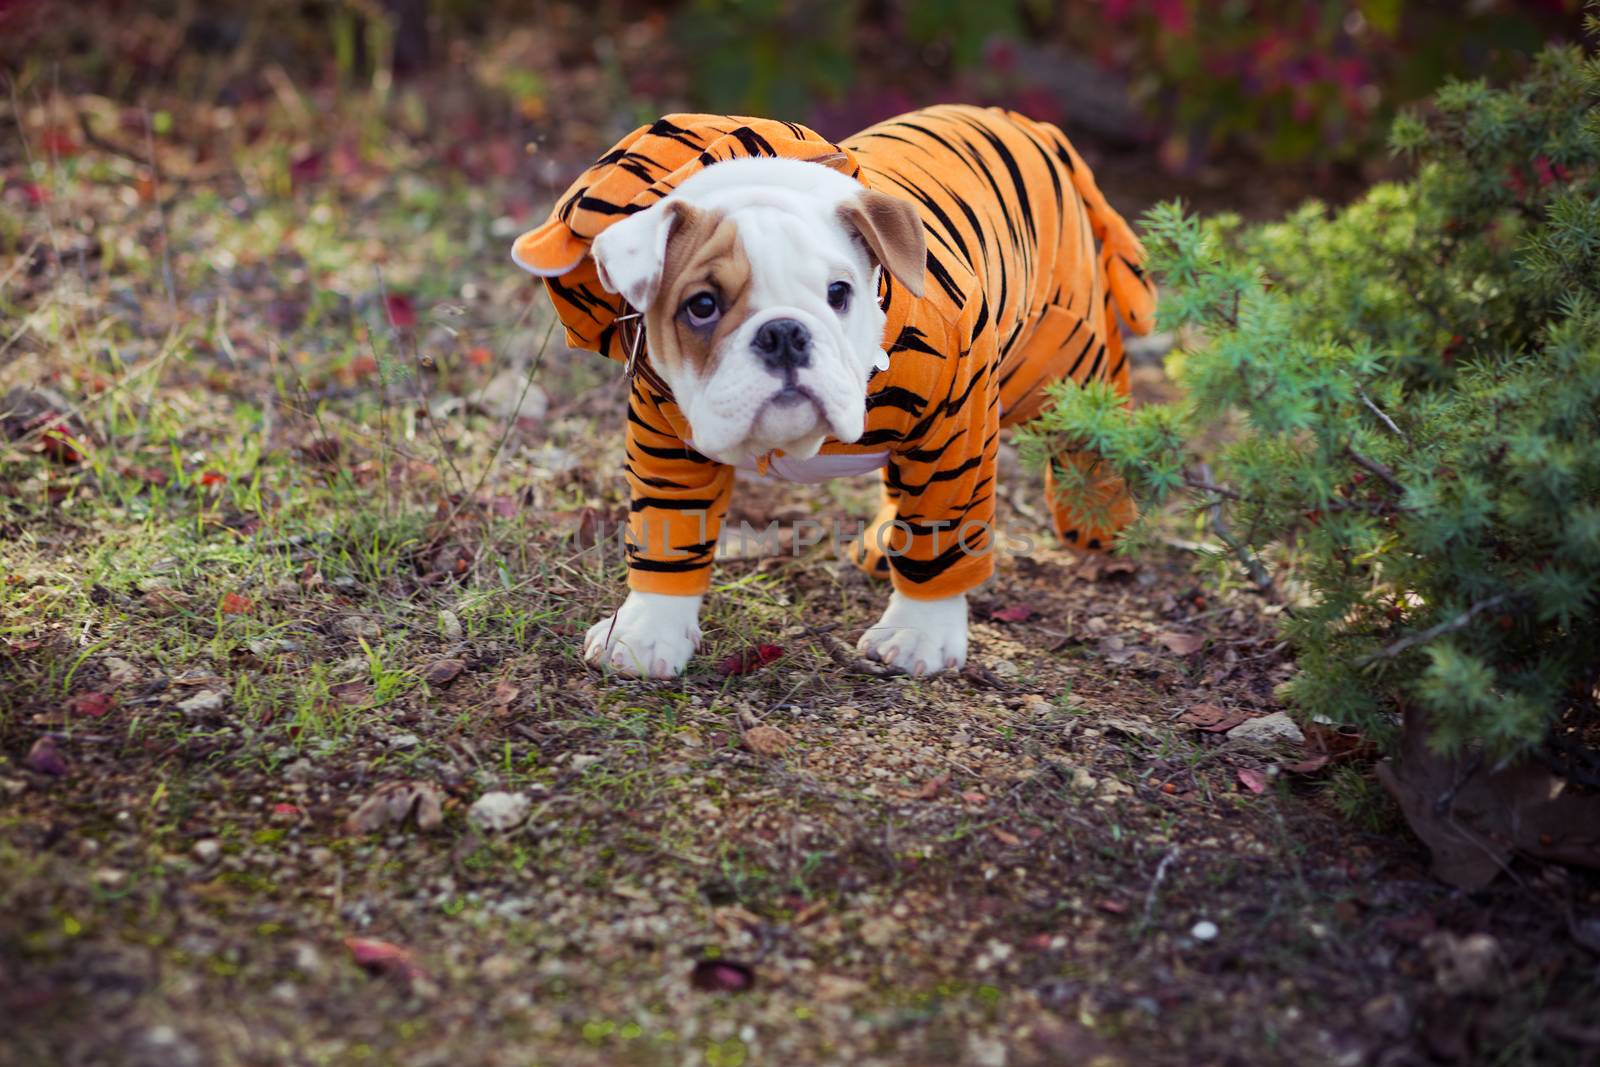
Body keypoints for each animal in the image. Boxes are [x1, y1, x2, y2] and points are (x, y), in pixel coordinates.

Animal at [518, 106, 1158, 675]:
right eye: (701, 306)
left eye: (839, 292)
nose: (783, 333)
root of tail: (1028, 124)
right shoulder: (668, 441)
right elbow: (669, 527)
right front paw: (648, 628)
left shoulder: (958, 429)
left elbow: (942, 531)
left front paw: (919, 632)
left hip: (1066, 364)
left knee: (1096, 428)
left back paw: (1100, 515)